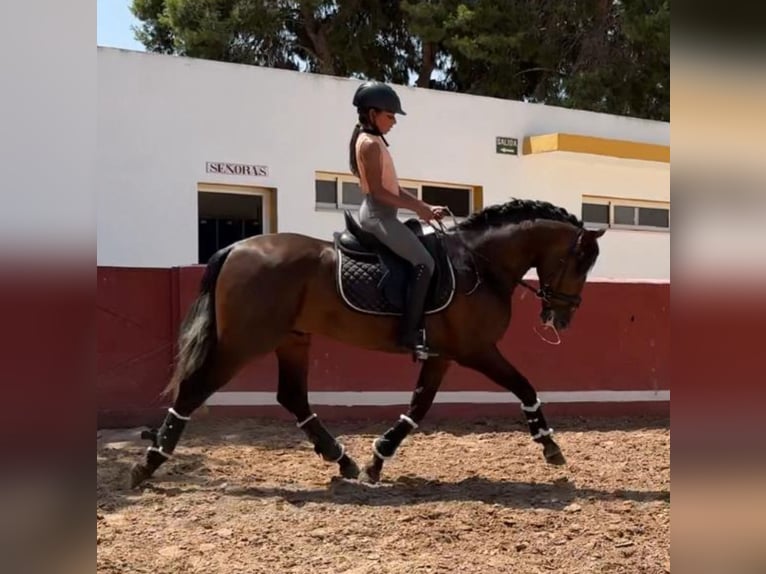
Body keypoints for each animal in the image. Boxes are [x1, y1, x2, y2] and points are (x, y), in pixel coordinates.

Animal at [134, 199, 612, 490]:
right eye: (579, 262)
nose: (561, 317)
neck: (479, 264)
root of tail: (236, 248)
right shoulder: (477, 351)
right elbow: (525, 386)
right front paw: (550, 446)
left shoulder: (442, 356)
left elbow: (418, 408)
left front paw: (377, 459)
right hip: (242, 343)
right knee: (194, 390)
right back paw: (148, 463)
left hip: (292, 339)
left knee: (292, 396)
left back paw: (341, 459)